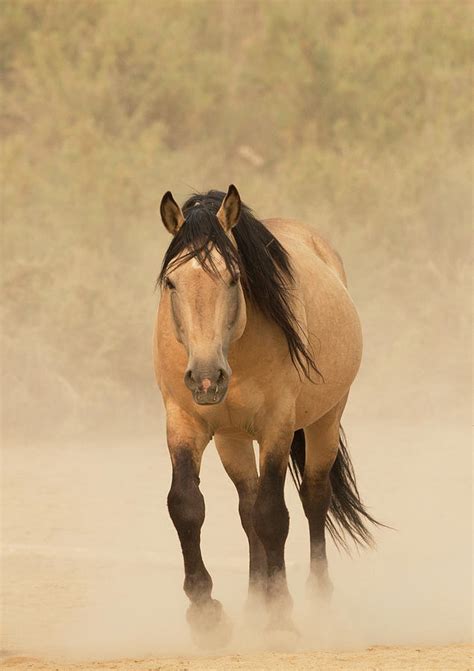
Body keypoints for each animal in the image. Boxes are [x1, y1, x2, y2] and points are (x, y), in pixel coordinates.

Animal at [154, 186, 380, 648]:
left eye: (233, 277)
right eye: (172, 281)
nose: (206, 377)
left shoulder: (277, 426)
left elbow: (274, 515)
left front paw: (280, 616)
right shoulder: (184, 422)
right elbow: (187, 505)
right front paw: (207, 614)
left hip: (324, 421)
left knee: (313, 499)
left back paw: (317, 601)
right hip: (233, 438)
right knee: (247, 506)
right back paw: (253, 604)